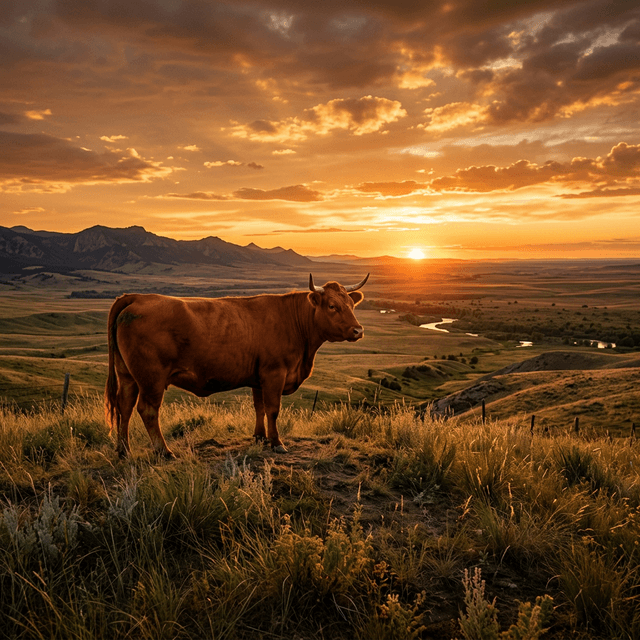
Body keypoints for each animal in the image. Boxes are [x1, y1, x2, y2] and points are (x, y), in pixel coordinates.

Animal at [105, 273, 369, 457]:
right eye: (332, 306)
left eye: (351, 304)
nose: (358, 330)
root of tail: (137, 297)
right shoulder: (275, 373)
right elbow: (273, 409)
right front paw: (277, 443)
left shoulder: (259, 377)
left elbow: (259, 408)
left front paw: (260, 437)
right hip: (152, 378)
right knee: (147, 410)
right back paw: (164, 451)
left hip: (127, 375)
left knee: (124, 407)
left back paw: (124, 450)